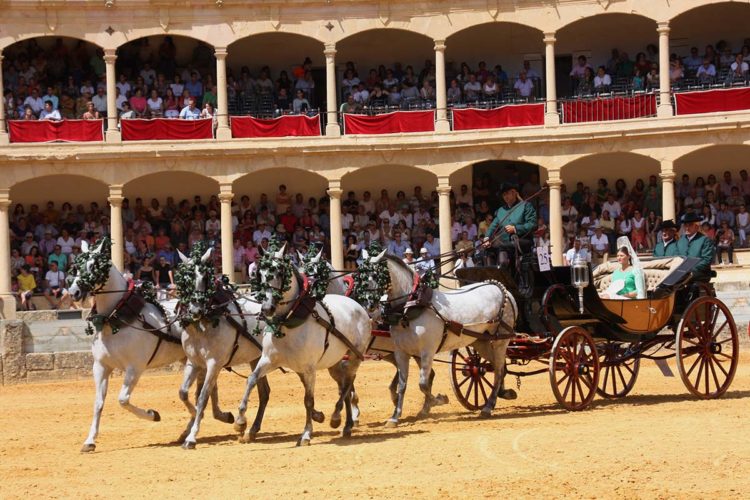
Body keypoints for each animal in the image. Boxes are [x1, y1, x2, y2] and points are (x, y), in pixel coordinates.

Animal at [69, 238, 232, 454]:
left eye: (94, 266)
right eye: (77, 265)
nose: (74, 292)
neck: (117, 318)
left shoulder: (134, 368)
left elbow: (123, 399)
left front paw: (153, 414)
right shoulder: (101, 366)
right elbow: (98, 403)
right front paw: (89, 441)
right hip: (193, 359)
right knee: (207, 387)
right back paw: (213, 418)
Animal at [176, 246, 270, 450]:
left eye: (205, 278)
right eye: (185, 279)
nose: (195, 311)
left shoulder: (214, 364)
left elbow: (202, 397)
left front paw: (191, 437)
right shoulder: (194, 363)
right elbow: (184, 393)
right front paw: (191, 424)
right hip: (256, 358)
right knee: (264, 392)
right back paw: (251, 430)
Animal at [238, 244, 374, 444]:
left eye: (280, 272)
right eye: (259, 273)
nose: (267, 308)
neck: (287, 322)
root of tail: (358, 306)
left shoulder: (309, 368)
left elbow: (308, 400)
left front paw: (306, 433)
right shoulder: (268, 360)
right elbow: (251, 380)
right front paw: (240, 421)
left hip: (354, 356)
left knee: (348, 383)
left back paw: (337, 417)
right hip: (334, 363)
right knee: (344, 385)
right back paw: (347, 424)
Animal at [368, 252, 516, 424]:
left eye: (377, 275)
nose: (370, 305)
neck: (410, 308)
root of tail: (501, 288)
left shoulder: (427, 351)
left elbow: (423, 384)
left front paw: (438, 400)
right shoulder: (401, 352)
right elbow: (402, 385)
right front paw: (395, 417)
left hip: (500, 340)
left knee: (498, 370)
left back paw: (488, 406)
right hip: (480, 341)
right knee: (496, 367)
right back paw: (501, 394)